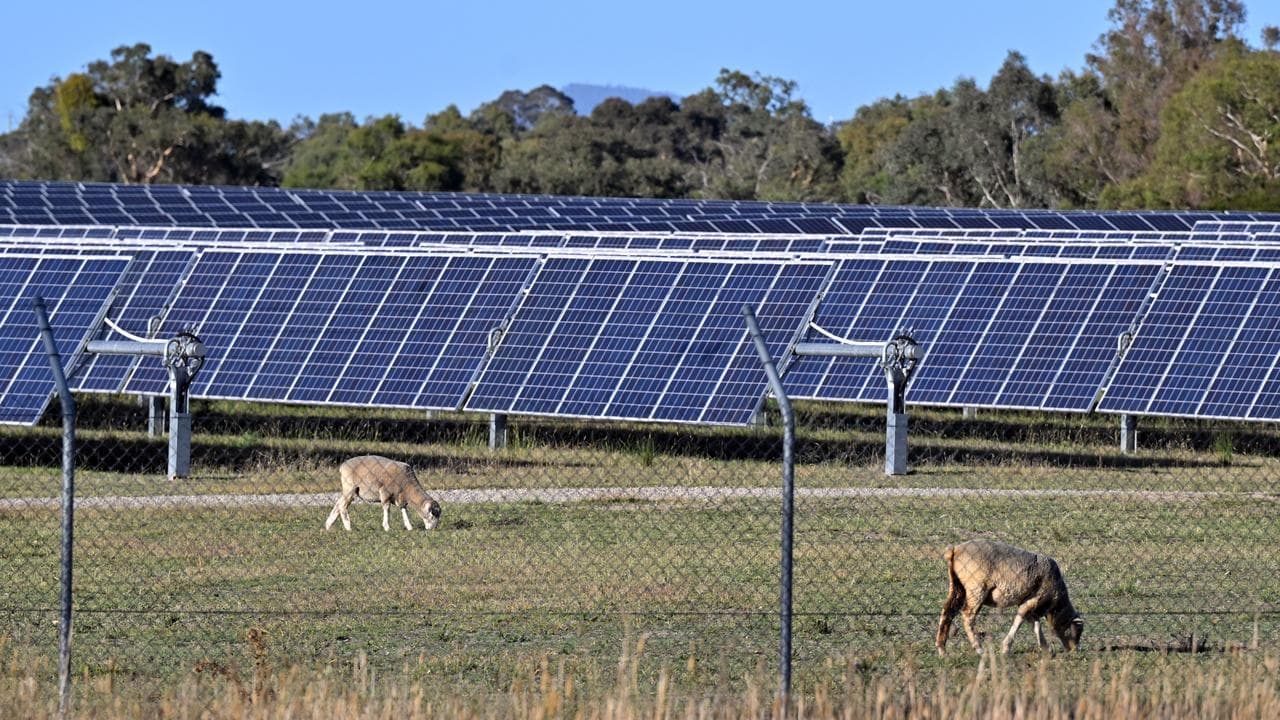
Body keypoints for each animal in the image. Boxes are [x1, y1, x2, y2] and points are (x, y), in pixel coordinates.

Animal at [935, 539, 1083, 655]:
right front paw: (1005, 648)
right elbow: (1019, 621)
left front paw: (1047, 650)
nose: (1074, 651)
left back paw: (942, 649)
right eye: (1077, 632)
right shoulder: (1033, 600)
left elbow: (1035, 625)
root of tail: (955, 550)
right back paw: (978, 648)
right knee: (967, 616)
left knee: (947, 612)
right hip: (976, 588)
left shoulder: (1030, 604)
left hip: (957, 586)